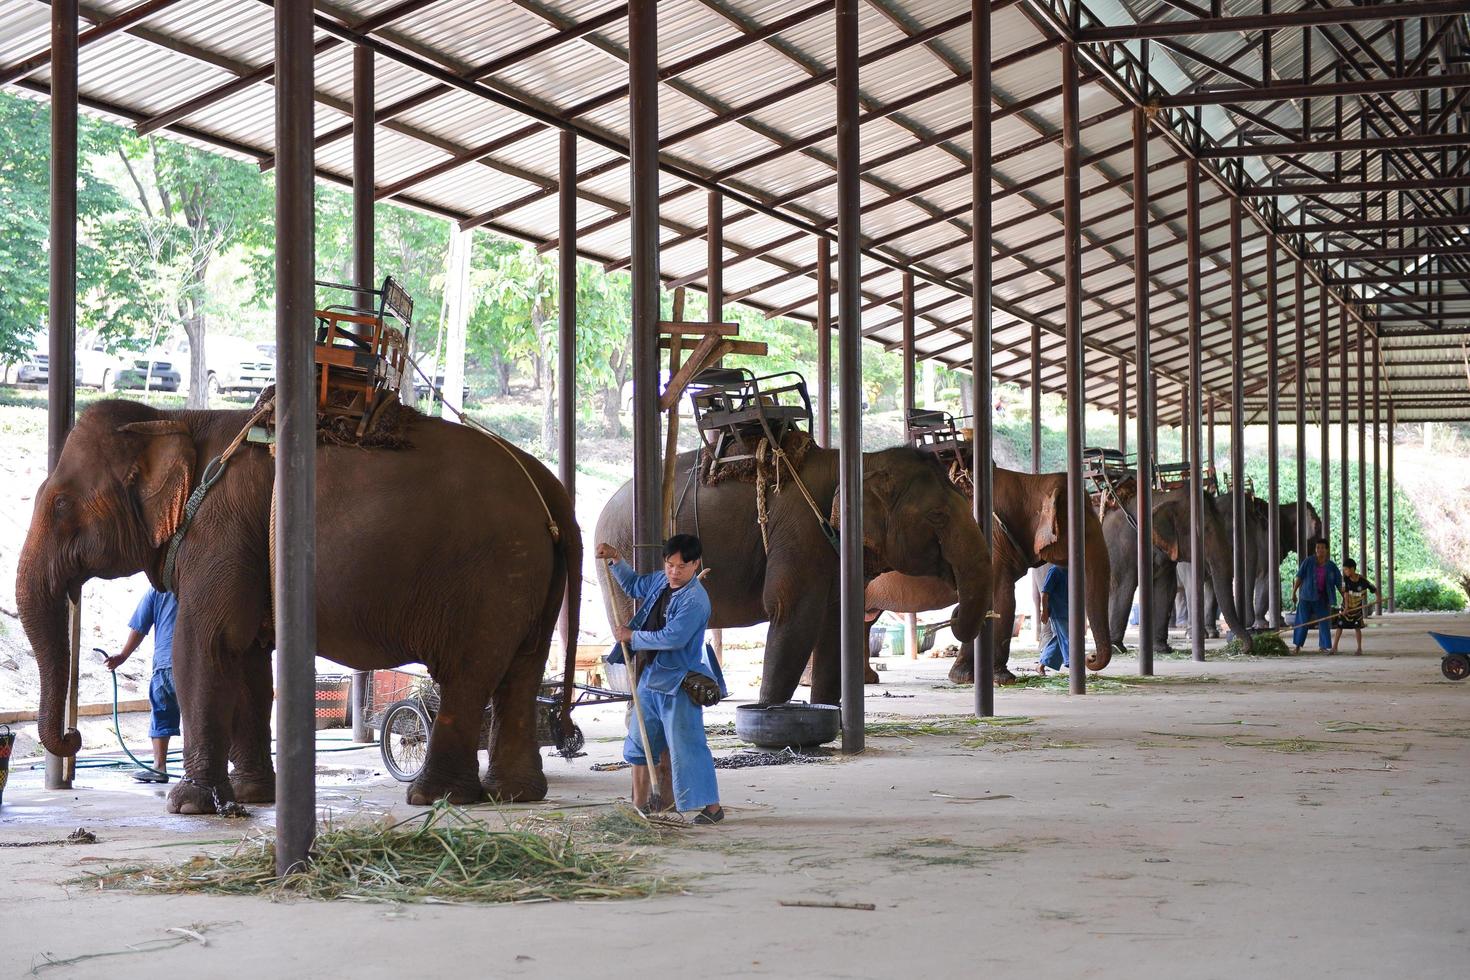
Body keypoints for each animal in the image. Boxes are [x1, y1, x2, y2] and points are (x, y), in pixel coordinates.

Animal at [17, 396, 582, 811]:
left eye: (61, 504)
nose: (73, 735)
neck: (177, 417)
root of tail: (550, 491)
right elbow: (246, 660)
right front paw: (252, 796)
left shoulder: (221, 533)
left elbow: (204, 647)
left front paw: (189, 805)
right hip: (529, 578)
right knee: (521, 672)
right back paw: (515, 795)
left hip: (491, 575)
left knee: (468, 673)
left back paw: (435, 797)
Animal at [593, 443, 987, 705]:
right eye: (938, 516)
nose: (953, 615)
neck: (859, 461)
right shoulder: (800, 531)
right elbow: (789, 612)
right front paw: (768, 714)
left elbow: (834, 620)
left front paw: (827, 711)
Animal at [858, 467, 1111, 681]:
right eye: (1084, 530)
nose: (1090, 658)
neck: (1032, 482)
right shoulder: (991, 542)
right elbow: (1002, 601)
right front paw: (1002, 679)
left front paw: (963, 677)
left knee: (867, 621)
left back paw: (869, 679)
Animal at [1105, 481, 1252, 652]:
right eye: (1204, 530)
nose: (1242, 648)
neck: (1164, 497)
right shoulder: (1121, 548)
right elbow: (1123, 587)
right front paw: (1116, 647)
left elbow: (1166, 589)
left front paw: (1162, 648)